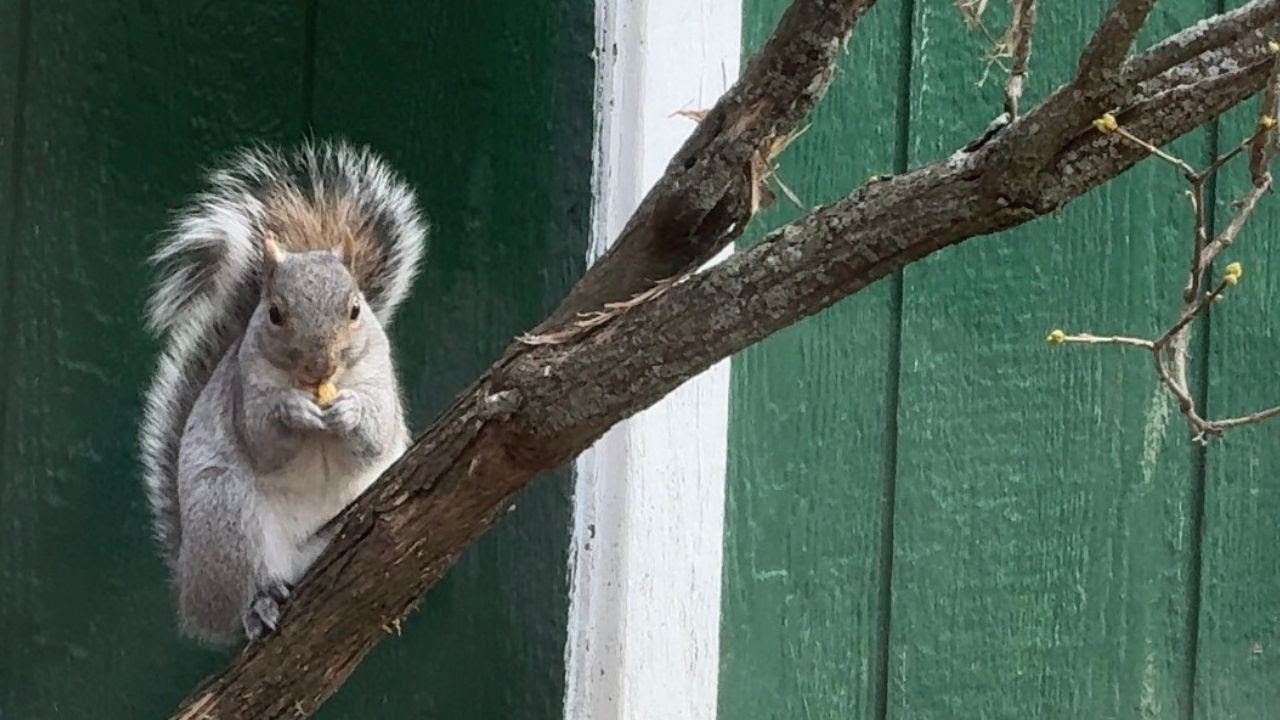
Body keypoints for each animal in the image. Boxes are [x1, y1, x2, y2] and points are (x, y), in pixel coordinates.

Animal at [137, 140, 427, 645]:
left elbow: (375, 435)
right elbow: (263, 439)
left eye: (355, 309)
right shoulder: (245, 389)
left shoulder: (381, 380)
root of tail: (191, 591)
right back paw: (257, 606)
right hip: (227, 518)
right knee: (240, 597)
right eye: (274, 313)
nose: (320, 366)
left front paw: (349, 411)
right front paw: (292, 411)